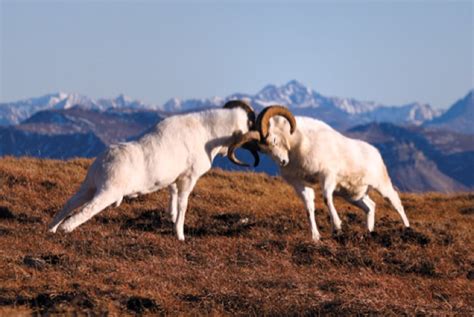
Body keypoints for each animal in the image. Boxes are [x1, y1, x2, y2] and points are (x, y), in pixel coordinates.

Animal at [48, 100, 260, 239]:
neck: (206, 133)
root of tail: (103, 161)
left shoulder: (174, 180)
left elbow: (173, 198)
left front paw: (172, 218)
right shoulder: (188, 179)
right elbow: (183, 205)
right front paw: (180, 236)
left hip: (89, 187)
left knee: (69, 203)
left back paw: (51, 229)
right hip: (106, 193)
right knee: (86, 210)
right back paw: (65, 229)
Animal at [228, 105, 410, 241]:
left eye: (274, 139)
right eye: (264, 151)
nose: (283, 162)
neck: (300, 147)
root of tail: (376, 153)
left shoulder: (327, 177)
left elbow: (326, 198)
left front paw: (337, 228)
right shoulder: (301, 184)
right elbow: (309, 207)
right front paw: (316, 237)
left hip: (382, 186)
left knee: (396, 203)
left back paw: (407, 229)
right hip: (352, 196)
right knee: (370, 207)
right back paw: (369, 233)